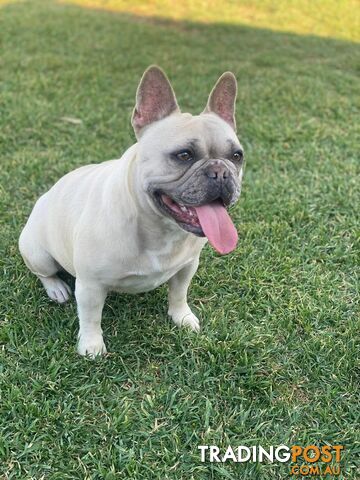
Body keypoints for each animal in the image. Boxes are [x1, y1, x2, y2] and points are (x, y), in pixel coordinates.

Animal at [19, 65, 245, 354]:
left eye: (237, 156)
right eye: (184, 155)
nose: (220, 172)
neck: (160, 228)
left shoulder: (187, 266)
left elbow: (179, 293)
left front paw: (182, 317)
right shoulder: (90, 285)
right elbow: (90, 316)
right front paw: (91, 345)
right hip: (38, 253)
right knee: (43, 273)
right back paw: (56, 288)